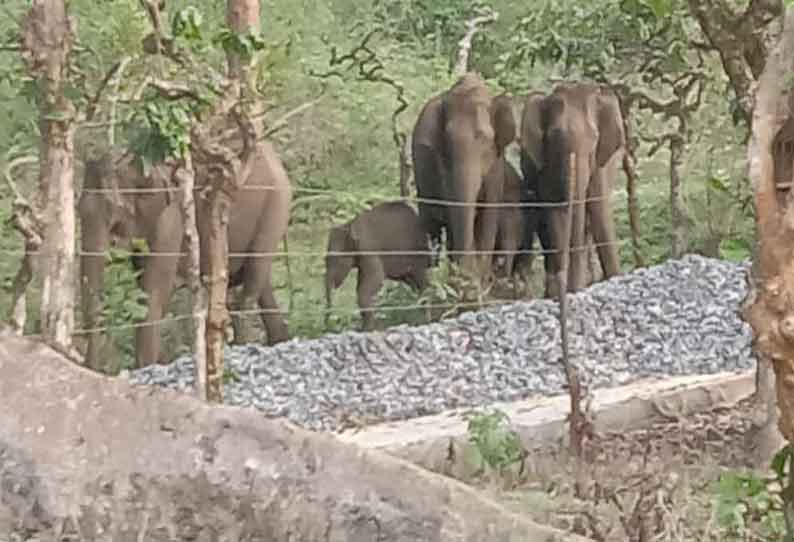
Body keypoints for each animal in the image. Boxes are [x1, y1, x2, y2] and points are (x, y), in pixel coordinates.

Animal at [78, 140, 290, 370]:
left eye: (115, 219)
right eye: (78, 210)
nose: (91, 367)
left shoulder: (172, 214)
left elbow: (154, 289)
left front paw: (148, 366)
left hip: (276, 205)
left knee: (255, 275)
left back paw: (242, 343)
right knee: (261, 283)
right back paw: (278, 340)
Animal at [324, 202, 430, 332]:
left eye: (335, 259)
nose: (328, 325)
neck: (349, 225)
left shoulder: (368, 249)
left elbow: (375, 279)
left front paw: (367, 329)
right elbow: (362, 283)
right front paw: (365, 327)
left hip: (417, 255)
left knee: (421, 281)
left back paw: (426, 316)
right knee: (413, 282)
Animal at [412, 72, 516, 276]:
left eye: (486, 140)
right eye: (447, 139)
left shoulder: (496, 166)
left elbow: (488, 216)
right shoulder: (441, 163)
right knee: (432, 226)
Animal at [520, 84, 624, 298]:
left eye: (594, 138)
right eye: (553, 137)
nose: (574, 289)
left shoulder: (601, 160)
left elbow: (598, 206)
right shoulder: (545, 164)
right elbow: (555, 211)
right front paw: (565, 291)